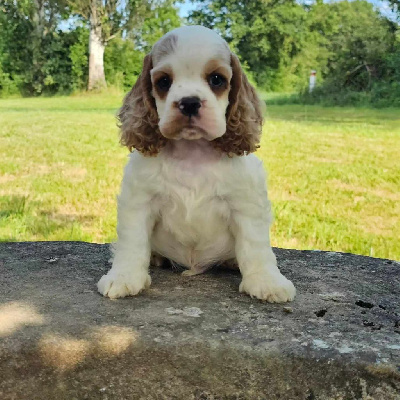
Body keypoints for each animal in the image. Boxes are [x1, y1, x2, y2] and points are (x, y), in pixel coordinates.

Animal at [98, 25, 296, 304]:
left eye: (217, 79)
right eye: (163, 82)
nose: (189, 102)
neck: (192, 152)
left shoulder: (246, 204)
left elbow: (255, 246)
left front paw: (266, 281)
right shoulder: (138, 202)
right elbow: (132, 243)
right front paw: (124, 277)